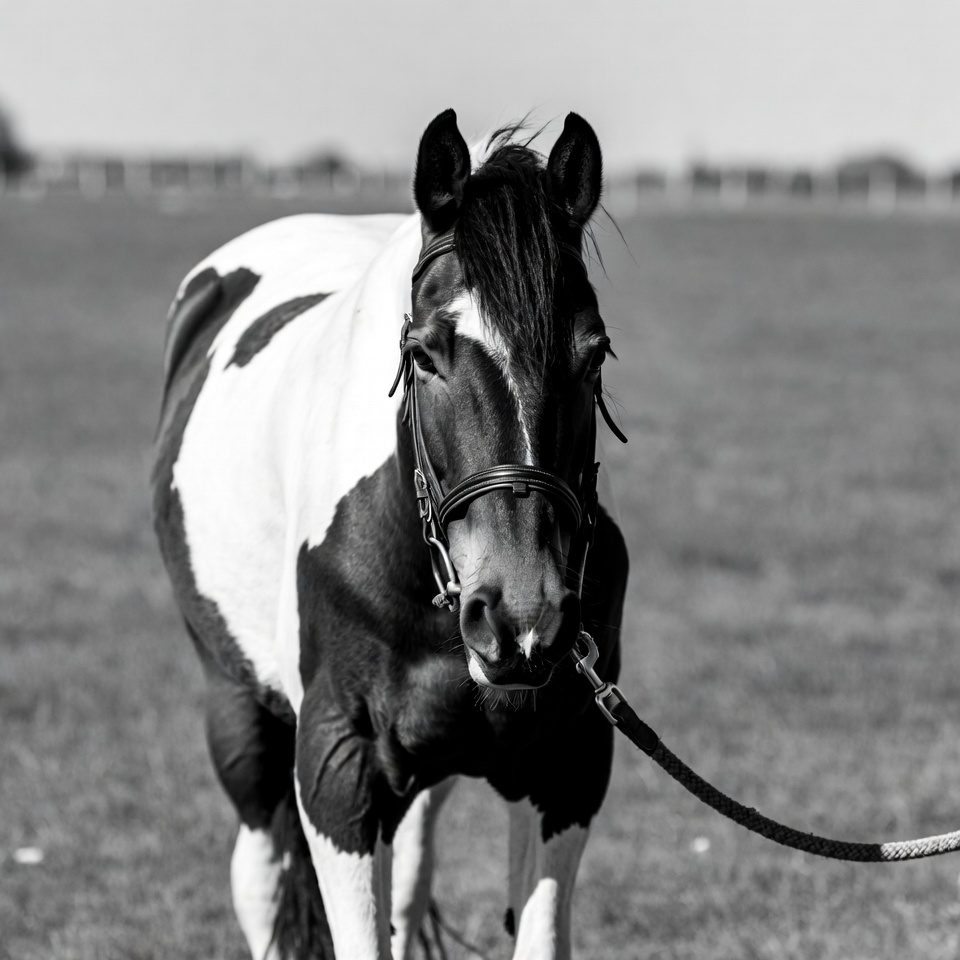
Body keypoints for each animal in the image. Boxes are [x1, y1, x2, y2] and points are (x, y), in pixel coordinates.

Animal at [151, 108, 628, 960]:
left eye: (593, 352)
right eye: (423, 353)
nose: (522, 618)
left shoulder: (568, 765)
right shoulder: (337, 771)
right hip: (239, 709)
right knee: (260, 877)